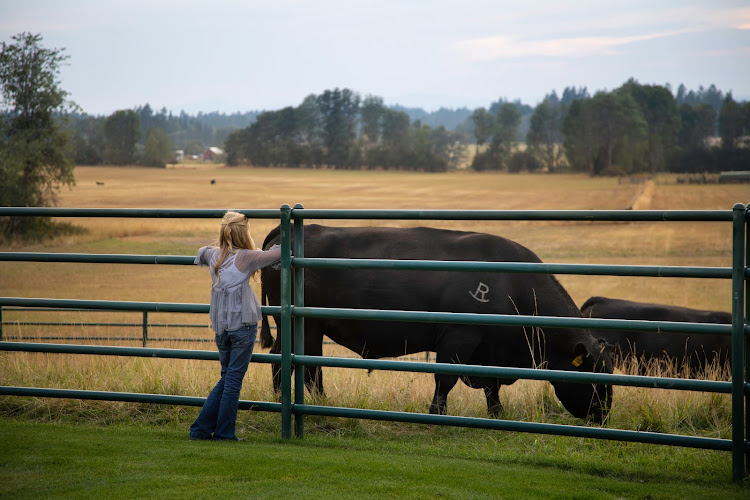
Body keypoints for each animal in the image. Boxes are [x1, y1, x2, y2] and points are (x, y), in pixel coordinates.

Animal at [260, 224, 613, 423]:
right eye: (594, 376)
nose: (603, 415)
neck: (511, 283)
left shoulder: (489, 351)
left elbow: (491, 387)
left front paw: (497, 415)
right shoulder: (459, 337)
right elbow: (445, 379)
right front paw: (437, 414)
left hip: (301, 328)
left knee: (293, 363)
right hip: (304, 326)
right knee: (301, 366)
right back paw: (304, 402)